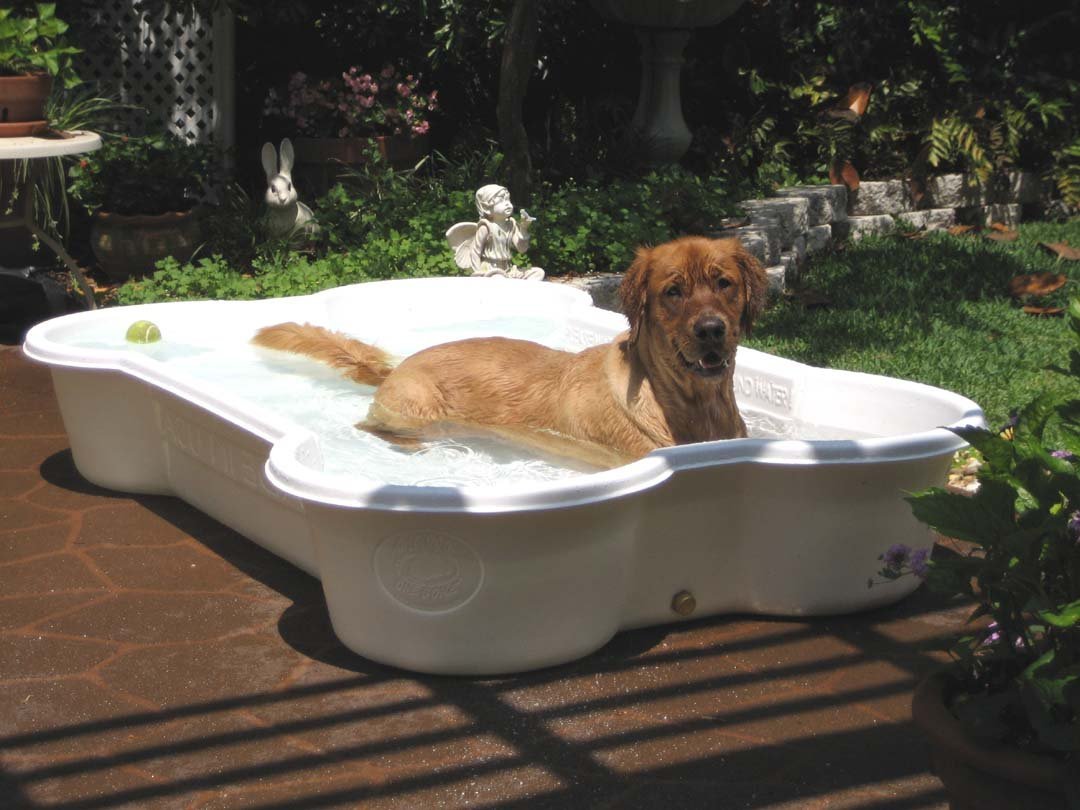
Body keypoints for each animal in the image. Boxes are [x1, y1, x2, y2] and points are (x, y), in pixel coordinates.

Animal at [250, 236, 768, 468]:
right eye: (672, 292)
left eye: (724, 283)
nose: (711, 330)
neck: (693, 406)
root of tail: (399, 367)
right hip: (413, 408)